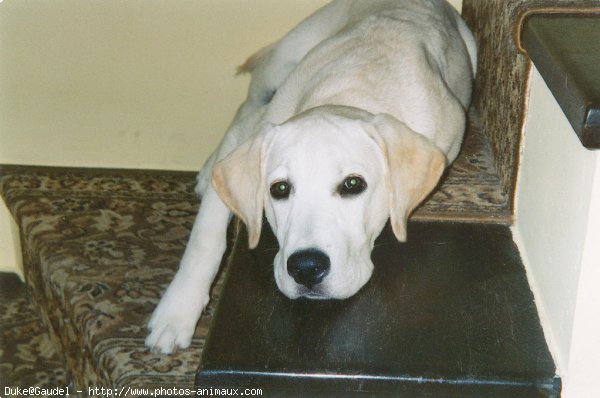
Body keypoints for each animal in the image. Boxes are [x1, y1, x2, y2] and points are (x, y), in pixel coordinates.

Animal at [145, 0, 474, 354]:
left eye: (353, 184)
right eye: (279, 189)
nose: (305, 269)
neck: (350, 92)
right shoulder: (254, 131)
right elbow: (205, 239)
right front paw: (176, 313)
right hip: (279, 65)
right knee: (244, 107)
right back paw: (208, 170)